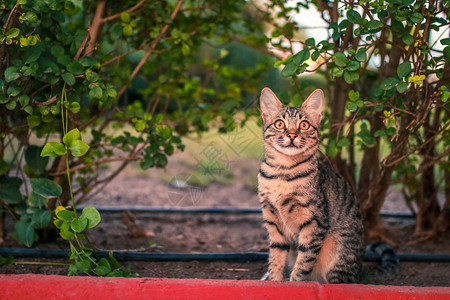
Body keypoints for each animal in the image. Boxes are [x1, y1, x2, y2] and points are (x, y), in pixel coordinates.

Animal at [256, 87, 398, 284]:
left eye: (304, 125)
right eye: (279, 124)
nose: (292, 135)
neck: (282, 172)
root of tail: (360, 270)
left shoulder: (314, 223)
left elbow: (303, 264)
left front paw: (294, 284)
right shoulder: (273, 220)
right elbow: (275, 258)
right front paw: (274, 283)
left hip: (338, 255)